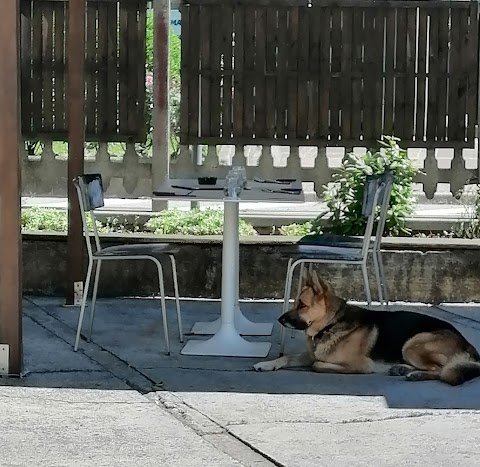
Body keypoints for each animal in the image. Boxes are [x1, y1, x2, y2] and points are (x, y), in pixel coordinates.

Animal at [255, 268, 480, 386]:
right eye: (295, 303)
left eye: (302, 305)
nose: (279, 320)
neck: (331, 323)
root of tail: (469, 346)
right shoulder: (309, 354)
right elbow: (286, 357)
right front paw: (267, 364)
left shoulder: (359, 365)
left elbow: (316, 365)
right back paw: (402, 369)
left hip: (413, 343)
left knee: (441, 370)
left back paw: (416, 374)